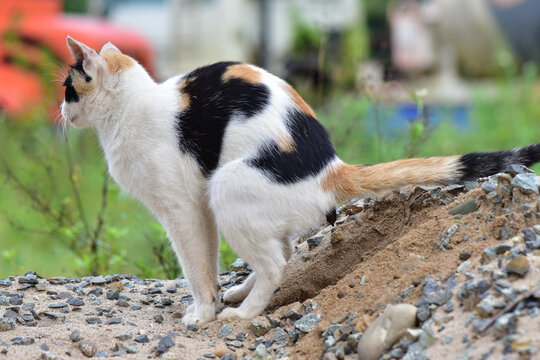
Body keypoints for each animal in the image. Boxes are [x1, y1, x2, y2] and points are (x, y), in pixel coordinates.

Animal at [60, 36, 540, 326]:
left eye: (67, 87)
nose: (61, 111)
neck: (131, 107)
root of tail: (334, 168)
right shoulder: (198, 209)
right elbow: (209, 264)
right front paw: (213, 299)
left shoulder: (181, 209)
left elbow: (195, 266)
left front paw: (203, 313)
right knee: (282, 252)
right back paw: (239, 294)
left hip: (226, 186)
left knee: (275, 263)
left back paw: (244, 313)